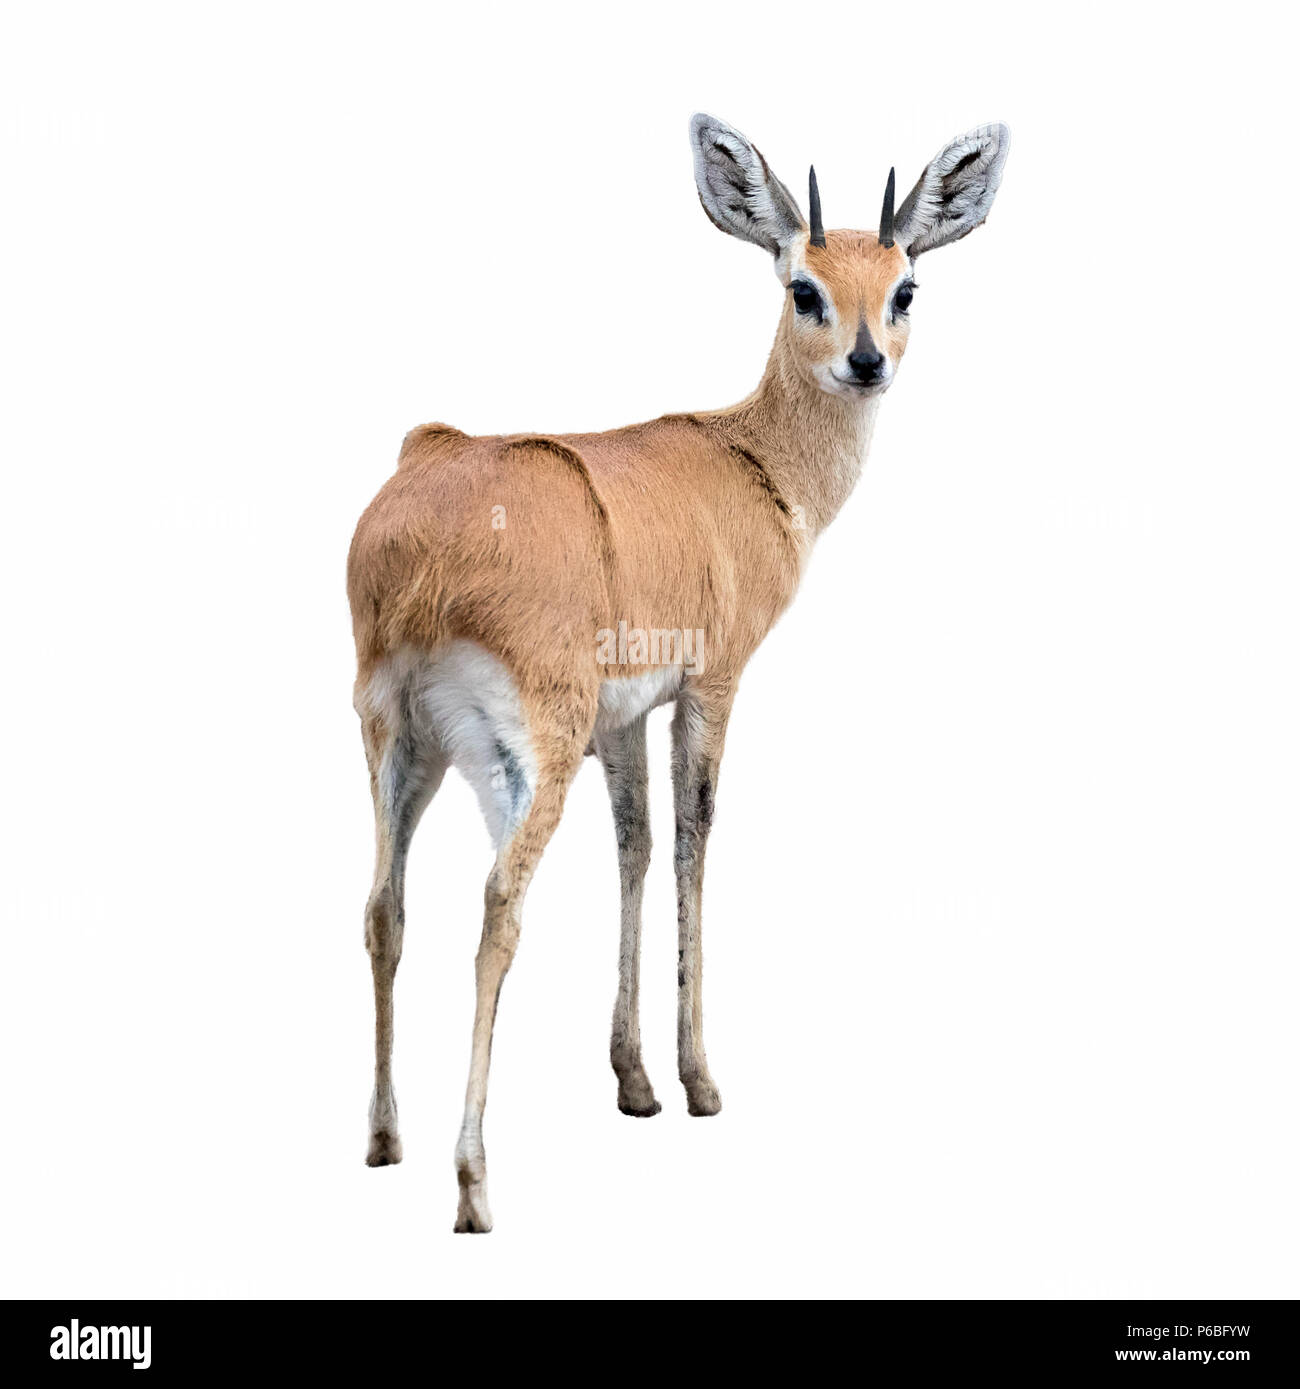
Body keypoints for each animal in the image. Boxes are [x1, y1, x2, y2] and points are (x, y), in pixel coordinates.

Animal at [348, 113, 1009, 1231]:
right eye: (804, 288)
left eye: (905, 286)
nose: (867, 361)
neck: (751, 462)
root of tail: (424, 531)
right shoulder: (711, 684)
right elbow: (696, 840)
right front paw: (698, 1080)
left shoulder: (623, 718)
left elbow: (638, 846)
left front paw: (634, 1079)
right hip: (527, 752)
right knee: (496, 905)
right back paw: (473, 1182)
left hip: (400, 742)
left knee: (384, 907)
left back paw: (384, 1142)